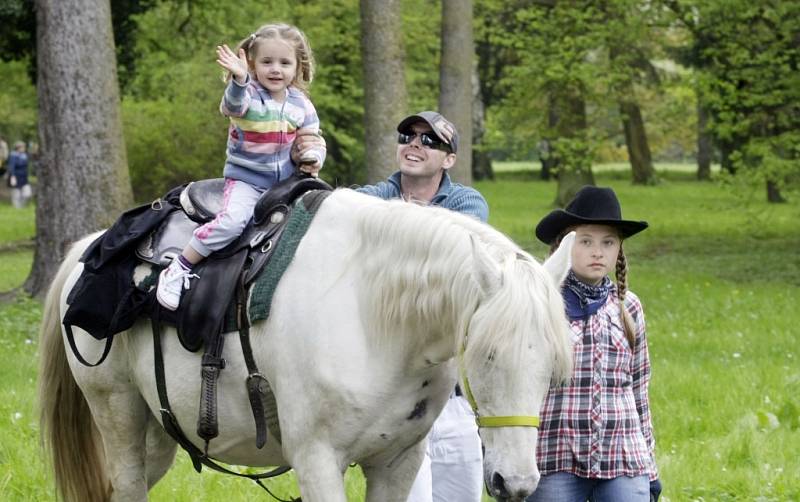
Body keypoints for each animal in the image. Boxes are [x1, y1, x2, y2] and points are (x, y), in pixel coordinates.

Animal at [39, 189, 576, 502]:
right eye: (487, 356)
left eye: (553, 369)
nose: (517, 484)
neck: (369, 313)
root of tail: (87, 248)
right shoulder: (318, 461)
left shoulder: (397, 464)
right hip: (118, 413)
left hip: (158, 432)